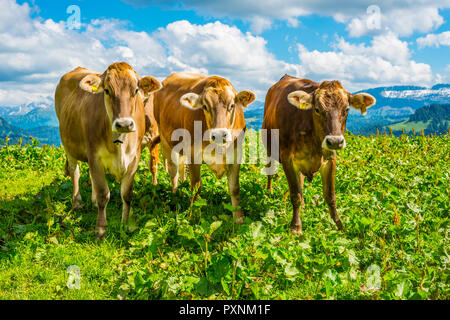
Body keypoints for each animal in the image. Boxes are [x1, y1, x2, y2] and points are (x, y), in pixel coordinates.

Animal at [55, 62, 162, 238]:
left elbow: (127, 194)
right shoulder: (94, 156)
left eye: (136, 90)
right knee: (74, 171)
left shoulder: (134, 158)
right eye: (107, 90)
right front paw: (100, 229)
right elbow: (103, 194)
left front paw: (125, 224)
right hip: (68, 145)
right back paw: (77, 202)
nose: (124, 124)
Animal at [153, 73, 255, 224]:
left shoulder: (236, 155)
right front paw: (194, 214)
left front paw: (238, 218)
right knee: (173, 171)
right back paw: (175, 194)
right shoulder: (193, 154)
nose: (219, 134)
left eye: (232, 105)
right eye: (205, 106)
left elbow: (234, 188)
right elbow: (196, 187)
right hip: (165, 140)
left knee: (181, 167)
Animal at [262, 75, 374, 235]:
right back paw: (269, 191)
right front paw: (296, 226)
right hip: (269, 148)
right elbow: (295, 194)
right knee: (270, 172)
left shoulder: (329, 159)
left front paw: (339, 225)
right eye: (317, 109)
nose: (335, 141)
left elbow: (330, 195)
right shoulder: (288, 159)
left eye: (346, 109)